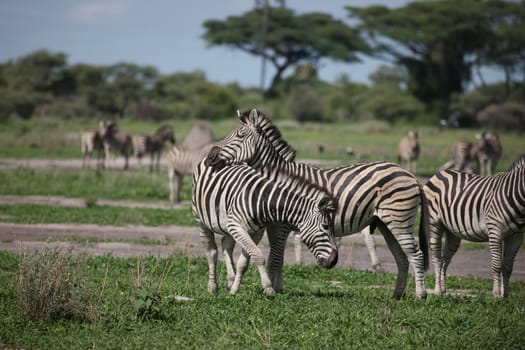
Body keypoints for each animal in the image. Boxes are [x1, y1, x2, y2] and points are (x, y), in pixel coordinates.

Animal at [190, 160, 338, 294]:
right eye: (325, 226)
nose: (334, 261)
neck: (262, 201)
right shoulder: (238, 228)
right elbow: (259, 257)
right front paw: (268, 287)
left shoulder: (255, 233)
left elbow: (244, 262)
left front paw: (234, 290)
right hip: (201, 221)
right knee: (211, 252)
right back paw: (212, 286)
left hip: (228, 224)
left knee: (226, 245)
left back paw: (230, 282)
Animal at [206, 108, 430, 298]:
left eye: (240, 136)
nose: (210, 157)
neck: (276, 180)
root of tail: (409, 174)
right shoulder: (274, 225)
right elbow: (278, 258)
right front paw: (277, 288)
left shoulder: (282, 225)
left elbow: (275, 259)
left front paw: (274, 289)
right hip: (386, 223)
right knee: (402, 257)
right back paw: (397, 295)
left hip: (399, 219)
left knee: (416, 254)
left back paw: (420, 295)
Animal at [424, 157, 524, 296]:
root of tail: (439, 173)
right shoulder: (495, 230)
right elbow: (497, 265)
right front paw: (497, 294)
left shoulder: (516, 237)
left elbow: (508, 267)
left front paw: (506, 296)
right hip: (434, 223)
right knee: (437, 258)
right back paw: (438, 290)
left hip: (453, 231)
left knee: (445, 259)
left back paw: (443, 290)